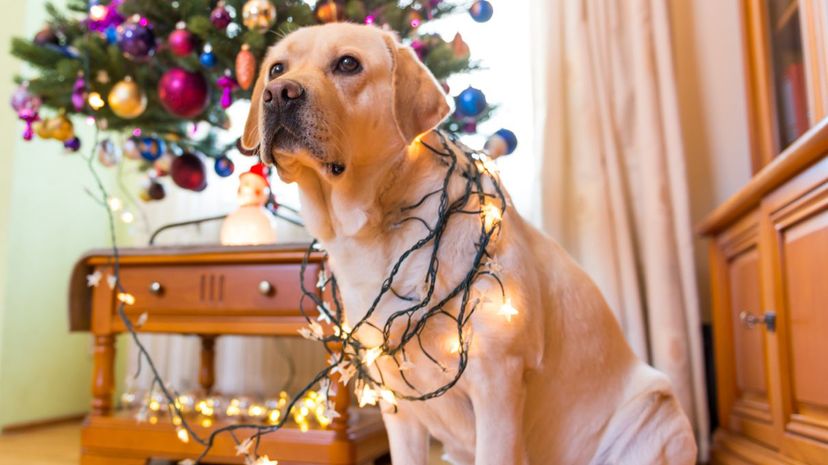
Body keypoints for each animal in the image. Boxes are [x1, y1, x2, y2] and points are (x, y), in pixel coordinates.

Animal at [241, 23, 700, 464]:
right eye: (277, 69)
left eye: (348, 64)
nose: (278, 93)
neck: (374, 226)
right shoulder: (396, 403)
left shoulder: (497, 382)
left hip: (657, 413)